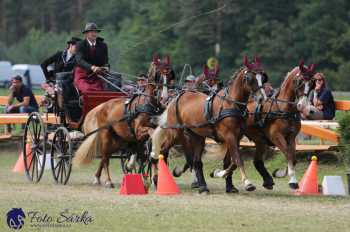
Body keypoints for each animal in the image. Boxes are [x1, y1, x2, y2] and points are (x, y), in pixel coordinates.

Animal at [73, 57, 172, 188]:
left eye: (170, 74)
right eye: (158, 75)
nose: (164, 97)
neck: (148, 104)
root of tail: (101, 106)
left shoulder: (141, 136)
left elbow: (145, 152)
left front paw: (151, 178)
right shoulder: (139, 131)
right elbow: (150, 136)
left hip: (118, 140)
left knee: (105, 156)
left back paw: (97, 178)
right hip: (106, 136)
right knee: (105, 158)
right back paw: (108, 181)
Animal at [151, 56, 268, 194]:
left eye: (263, 77)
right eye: (250, 78)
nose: (262, 98)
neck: (231, 104)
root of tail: (175, 99)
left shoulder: (236, 137)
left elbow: (230, 162)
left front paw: (223, 178)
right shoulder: (229, 136)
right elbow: (237, 159)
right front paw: (247, 183)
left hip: (197, 136)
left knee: (196, 161)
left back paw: (202, 186)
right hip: (175, 133)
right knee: (163, 152)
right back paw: (157, 179)